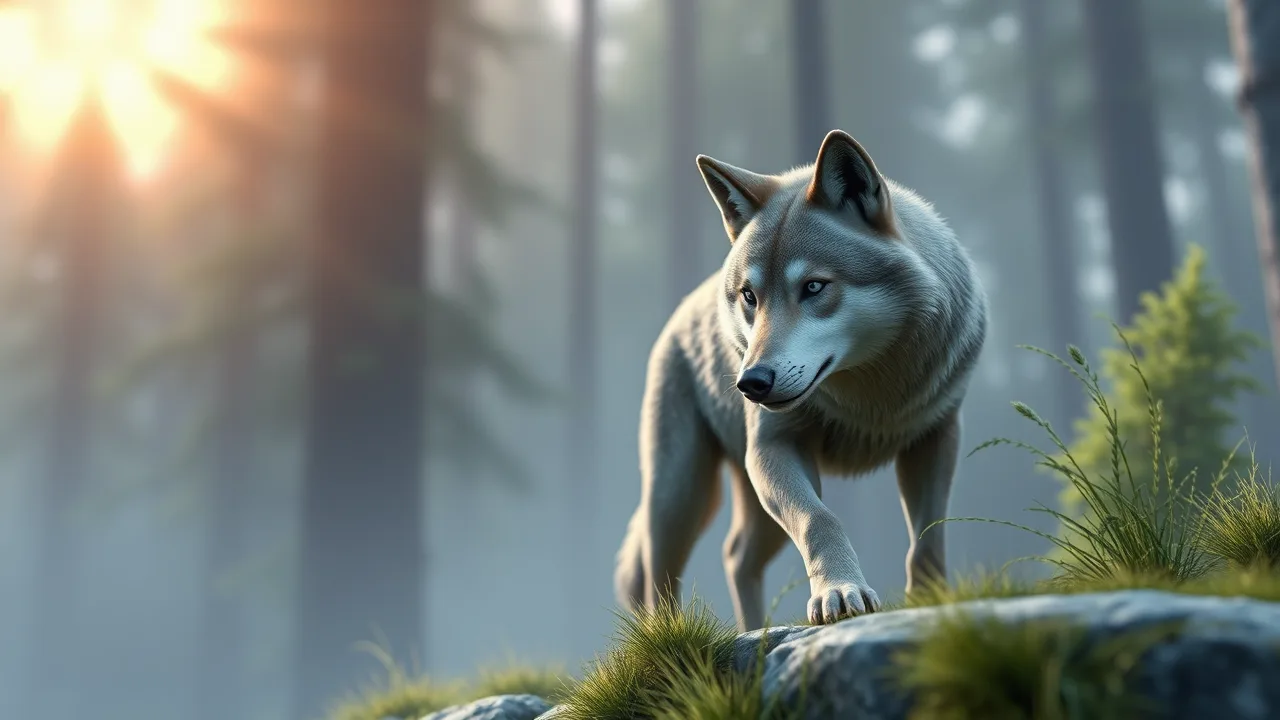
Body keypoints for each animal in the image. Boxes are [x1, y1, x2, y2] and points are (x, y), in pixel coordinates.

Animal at [613, 129, 988, 631]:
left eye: (813, 287)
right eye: (750, 296)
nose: (750, 383)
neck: (874, 395)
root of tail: (682, 310)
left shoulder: (935, 438)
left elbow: (928, 537)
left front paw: (931, 603)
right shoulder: (773, 449)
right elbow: (819, 519)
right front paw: (840, 593)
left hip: (745, 505)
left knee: (736, 555)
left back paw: (755, 630)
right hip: (681, 495)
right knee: (659, 575)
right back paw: (669, 637)